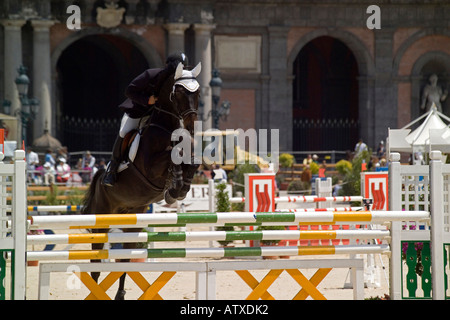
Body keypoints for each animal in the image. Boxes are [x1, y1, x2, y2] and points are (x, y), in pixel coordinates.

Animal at [80, 62, 200, 300]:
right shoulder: (151, 167)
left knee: (124, 260)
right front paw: (175, 186)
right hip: (102, 221)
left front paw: (179, 189)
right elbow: (173, 154)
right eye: (179, 94)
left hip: (130, 223)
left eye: (198, 93)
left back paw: (120, 294)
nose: (191, 127)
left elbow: (189, 158)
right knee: (96, 262)